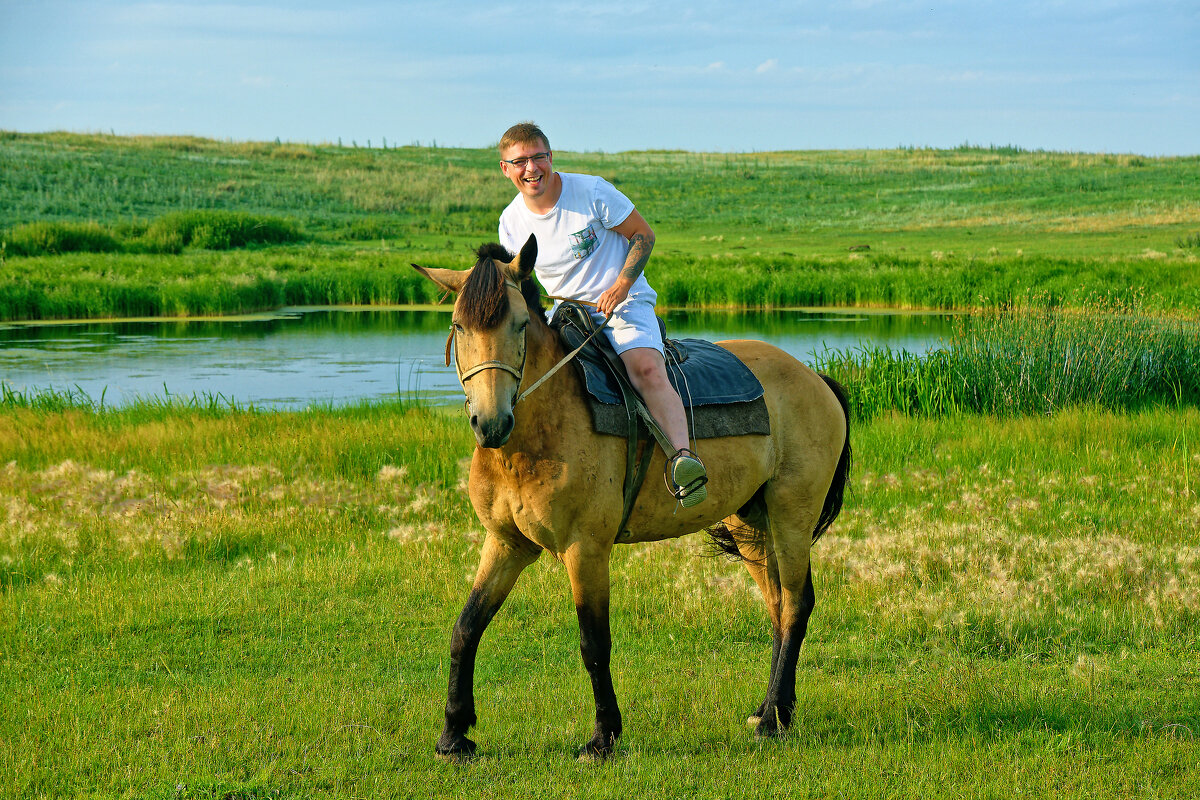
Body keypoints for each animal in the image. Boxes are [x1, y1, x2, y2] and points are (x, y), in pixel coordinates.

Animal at [412, 235, 854, 762]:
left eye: (519, 324)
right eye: (459, 325)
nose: (491, 423)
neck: (533, 436)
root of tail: (816, 379)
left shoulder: (585, 549)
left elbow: (593, 643)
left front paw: (603, 737)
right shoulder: (506, 544)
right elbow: (466, 628)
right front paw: (453, 734)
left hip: (792, 517)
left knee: (796, 605)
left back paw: (774, 721)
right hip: (751, 524)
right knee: (777, 606)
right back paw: (767, 709)